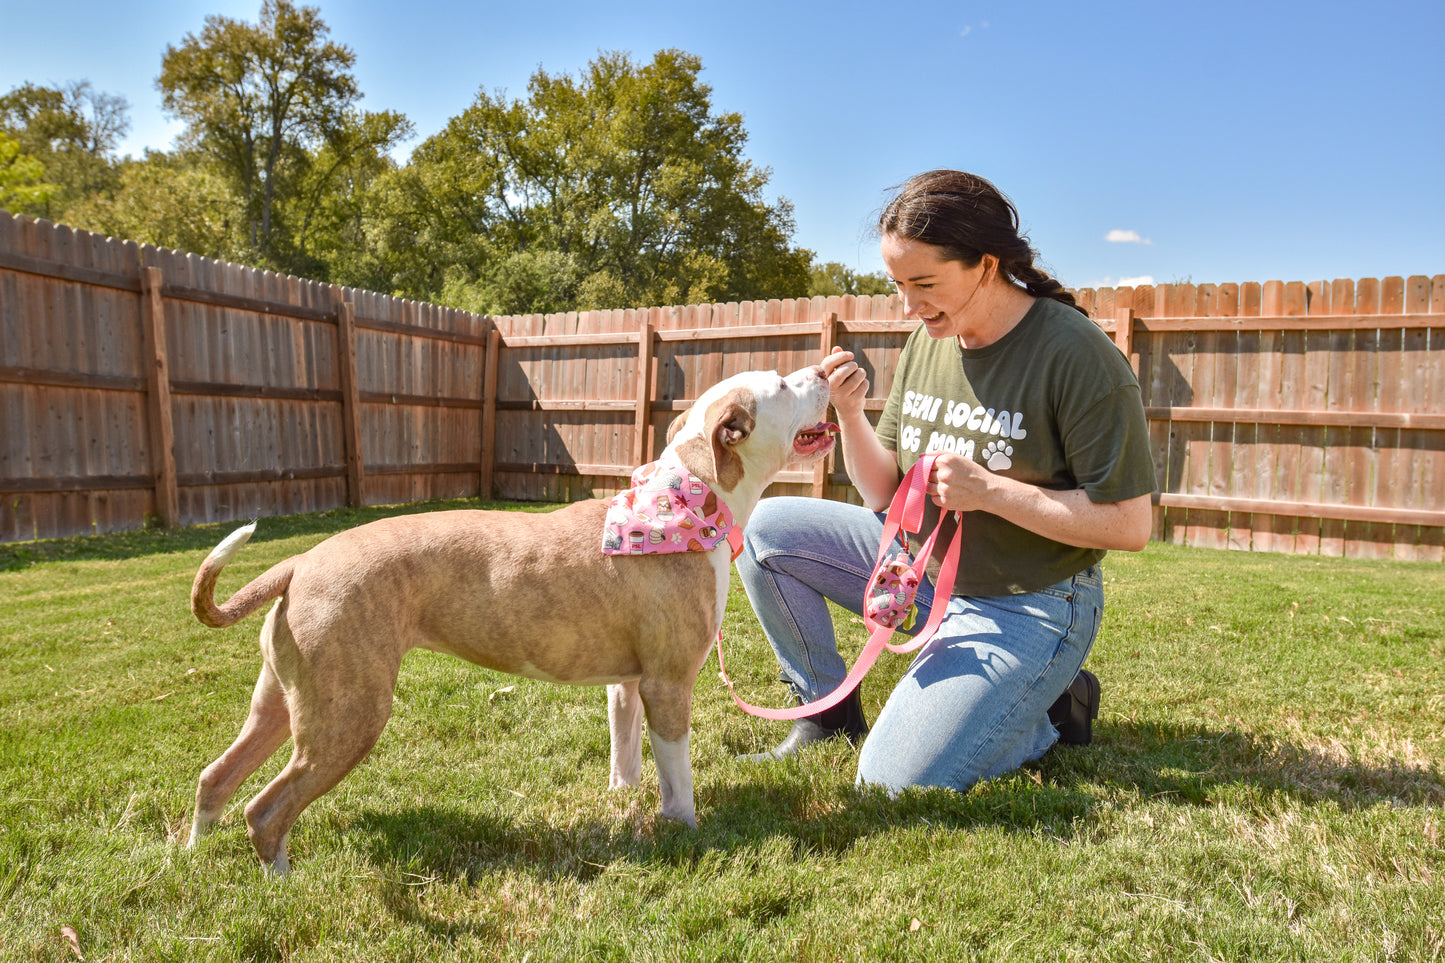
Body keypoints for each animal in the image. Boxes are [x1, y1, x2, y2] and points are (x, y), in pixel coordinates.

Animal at [189, 361, 838, 867]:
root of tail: (300, 562)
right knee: (265, 809)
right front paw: (684, 829)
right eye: (784, 382)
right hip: (347, 717)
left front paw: (624, 800)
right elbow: (676, 774)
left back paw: (191, 858)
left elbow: (626, 754)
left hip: (283, 701)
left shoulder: (629, 685)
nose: (831, 370)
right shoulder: (669, 684)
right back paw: (282, 881)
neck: (686, 498)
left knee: (215, 779)